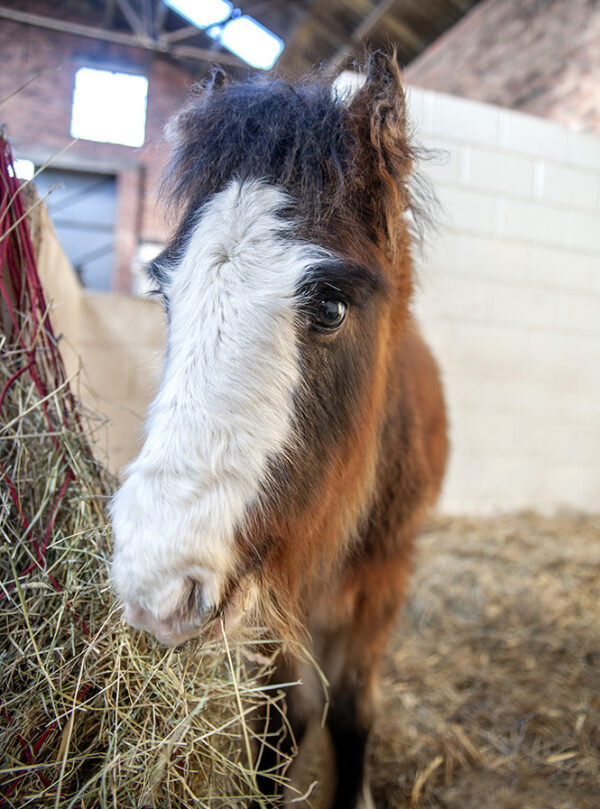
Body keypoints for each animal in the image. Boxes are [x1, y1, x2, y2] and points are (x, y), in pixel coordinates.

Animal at [110, 52, 448, 809]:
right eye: (165, 293)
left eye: (330, 306)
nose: (156, 584)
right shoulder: (276, 594)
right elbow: (285, 715)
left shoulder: (386, 576)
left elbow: (351, 710)